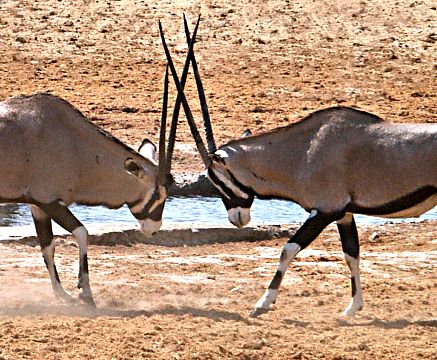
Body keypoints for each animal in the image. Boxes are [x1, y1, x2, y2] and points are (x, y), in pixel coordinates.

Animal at [0, 64, 177, 304]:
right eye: (158, 194)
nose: (154, 229)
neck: (75, 143)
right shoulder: (50, 201)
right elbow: (82, 233)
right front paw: (85, 293)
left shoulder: (37, 205)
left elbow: (48, 246)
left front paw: (62, 294)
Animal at [160, 16, 436, 316]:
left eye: (218, 181)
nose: (237, 219)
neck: (303, 150)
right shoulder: (343, 214)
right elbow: (351, 253)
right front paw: (352, 309)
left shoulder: (324, 211)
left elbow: (288, 249)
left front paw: (263, 303)